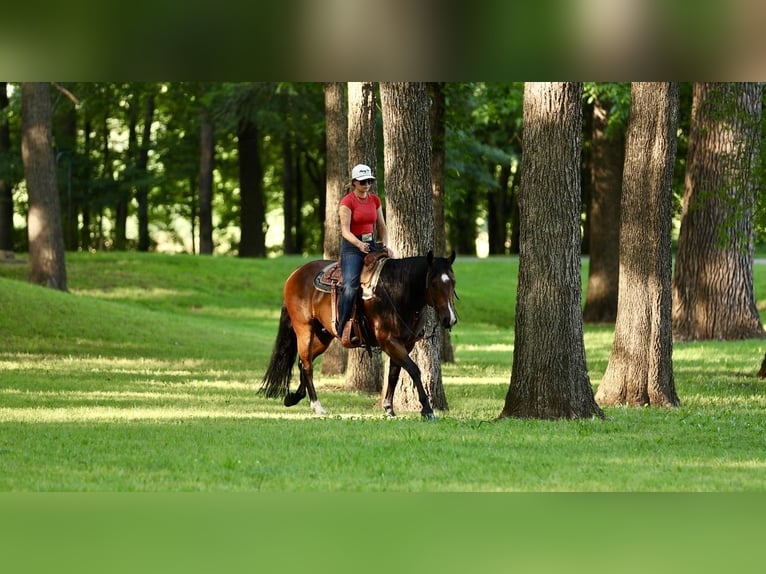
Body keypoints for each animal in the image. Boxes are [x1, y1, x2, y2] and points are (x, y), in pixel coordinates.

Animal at [258, 250, 458, 419]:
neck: (398, 291)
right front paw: (427, 410)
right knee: (307, 365)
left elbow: (395, 374)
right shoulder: (388, 341)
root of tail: (295, 274)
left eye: (453, 281)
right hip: (304, 330)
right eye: (433, 283)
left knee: (302, 361)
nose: (450, 318)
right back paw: (317, 405)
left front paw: (389, 408)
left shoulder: (405, 343)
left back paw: (294, 397)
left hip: (323, 336)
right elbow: (414, 370)